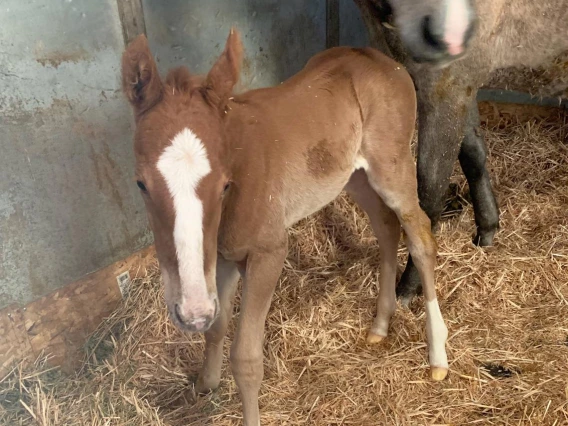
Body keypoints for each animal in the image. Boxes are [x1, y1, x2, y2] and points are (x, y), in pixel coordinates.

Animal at [123, 28, 448, 424]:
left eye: (225, 184)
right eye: (141, 184)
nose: (190, 313)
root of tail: (383, 59)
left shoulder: (268, 251)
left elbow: (246, 358)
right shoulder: (223, 257)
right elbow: (216, 327)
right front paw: (205, 383)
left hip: (392, 166)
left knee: (420, 234)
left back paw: (437, 356)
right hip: (354, 175)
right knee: (386, 227)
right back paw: (380, 326)